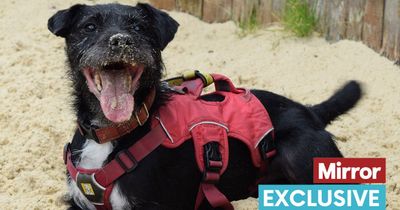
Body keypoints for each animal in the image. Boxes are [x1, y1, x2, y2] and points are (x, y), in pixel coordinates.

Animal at [47, 2, 362, 210]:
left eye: (139, 27)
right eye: (89, 27)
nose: (121, 41)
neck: (114, 132)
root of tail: (309, 110)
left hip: (303, 155)